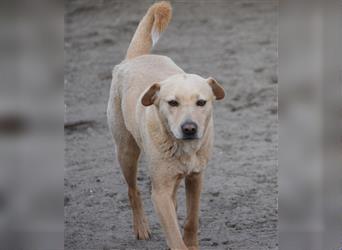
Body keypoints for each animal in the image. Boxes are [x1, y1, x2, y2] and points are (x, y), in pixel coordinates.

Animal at [107, 2, 224, 250]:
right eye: (172, 103)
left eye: (201, 102)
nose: (189, 128)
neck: (183, 148)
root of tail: (136, 57)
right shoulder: (159, 192)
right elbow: (174, 234)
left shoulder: (196, 178)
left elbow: (191, 219)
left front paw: (192, 243)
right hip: (126, 153)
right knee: (133, 191)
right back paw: (141, 227)